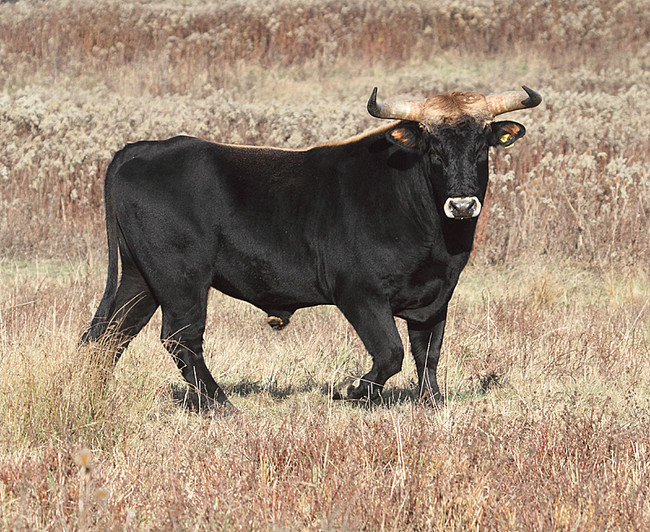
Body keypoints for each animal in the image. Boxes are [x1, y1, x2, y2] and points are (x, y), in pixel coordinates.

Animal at [83, 86, 540, 412]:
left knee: (108, 335)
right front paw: (351, 391)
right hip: (181, 279)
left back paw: (93, 394)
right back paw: (221, 405)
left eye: (482, 145)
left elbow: (428, 354)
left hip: (141, 278)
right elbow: (390, 353)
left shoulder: (436, 298)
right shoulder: (359, 293)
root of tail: (141, 149)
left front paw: (433, 403)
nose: (461, 204)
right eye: (433, 147)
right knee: (180, 338)